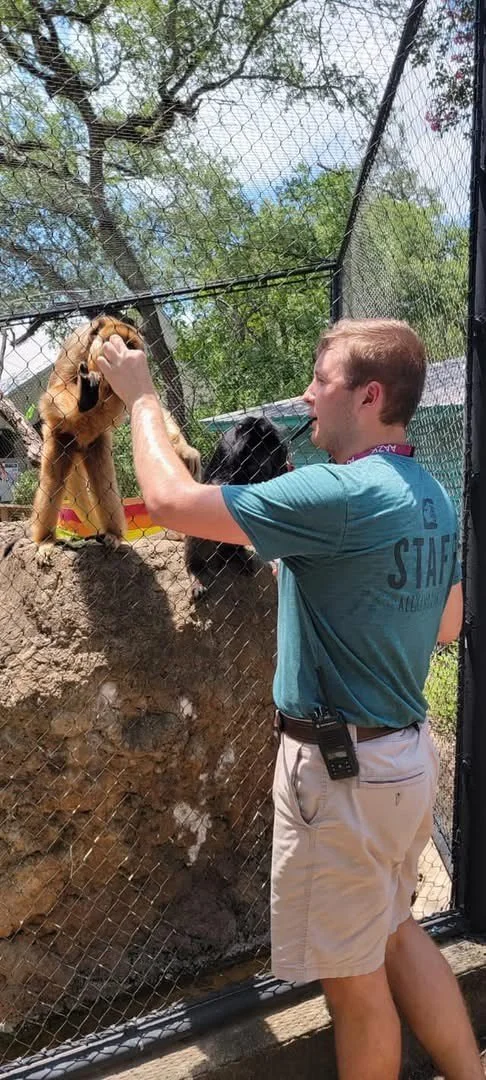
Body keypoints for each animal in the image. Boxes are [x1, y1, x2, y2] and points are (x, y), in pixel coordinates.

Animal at [31, 315, 201, 561]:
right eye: (114, 341)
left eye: (130, 346)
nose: (123, 353)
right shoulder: (76, 345)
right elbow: (56, 388)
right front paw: (85, 396)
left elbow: (147, 397)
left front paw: (185, 450)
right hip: (59, 436)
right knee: (52, 481)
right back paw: (45, 540)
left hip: (97, 442)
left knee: (104, 483)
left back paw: (112, 534)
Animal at [184, 415, 289, 599]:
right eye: (255, 453)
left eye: (268, 452)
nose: (263, 466)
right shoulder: (227, 447)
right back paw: (196, 571)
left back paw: (236, 556)